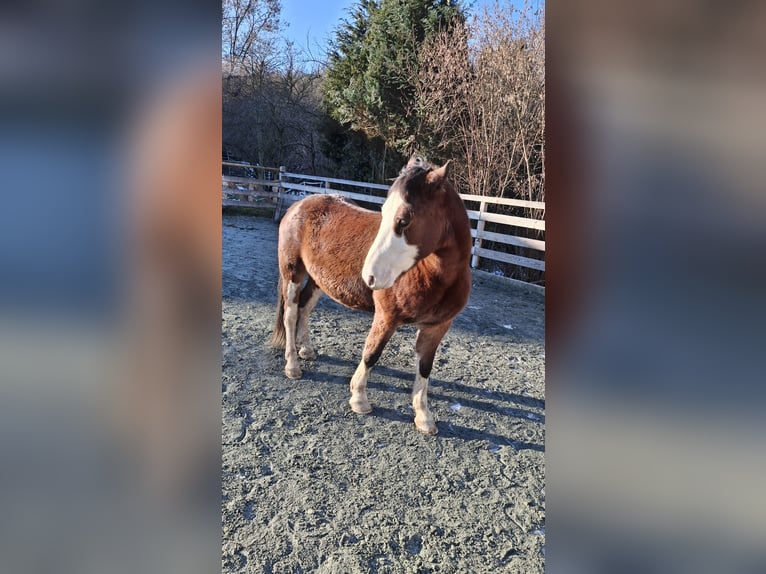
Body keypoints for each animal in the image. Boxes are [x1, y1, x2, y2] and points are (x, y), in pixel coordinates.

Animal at [271, 155, 472, 434]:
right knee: (290, 315)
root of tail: (298, 204)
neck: (435, 276)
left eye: (404, 220)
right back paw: (292, 365)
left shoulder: (437, 327)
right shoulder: (386, 317)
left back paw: (307, 350)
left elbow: (425, 366)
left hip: (318, 280)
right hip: (293, 273)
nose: (370, 277)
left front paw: (423, 417)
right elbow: (371, 354)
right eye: (384, 213)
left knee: (304, 307)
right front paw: (359, 399)